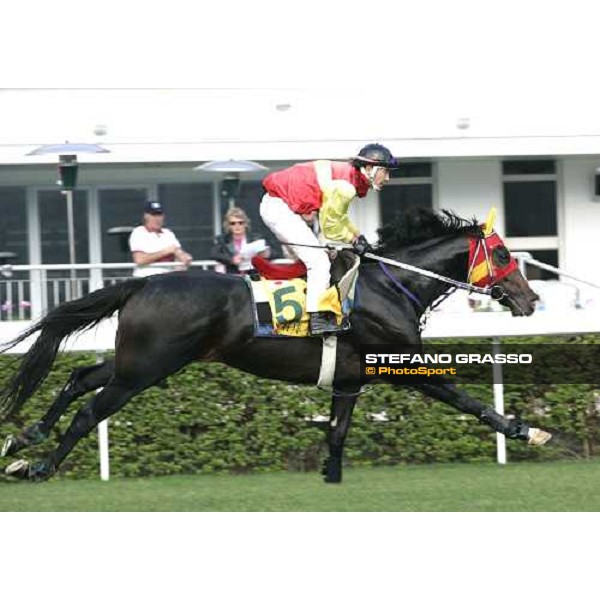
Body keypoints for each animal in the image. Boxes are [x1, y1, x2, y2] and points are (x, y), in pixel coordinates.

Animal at [0, 209, 552, 480]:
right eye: (504, 254)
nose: (531, 299)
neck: (391, 285)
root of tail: (145, 282)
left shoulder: (350, 379)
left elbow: (337, 432)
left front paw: (332, 476)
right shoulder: (401, 360)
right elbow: (464, 397)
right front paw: (527, 430)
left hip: (138, 361)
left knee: (77, 379)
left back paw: (24, 440)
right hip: (146, 368)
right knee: (90, 411)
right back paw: (40, 466)